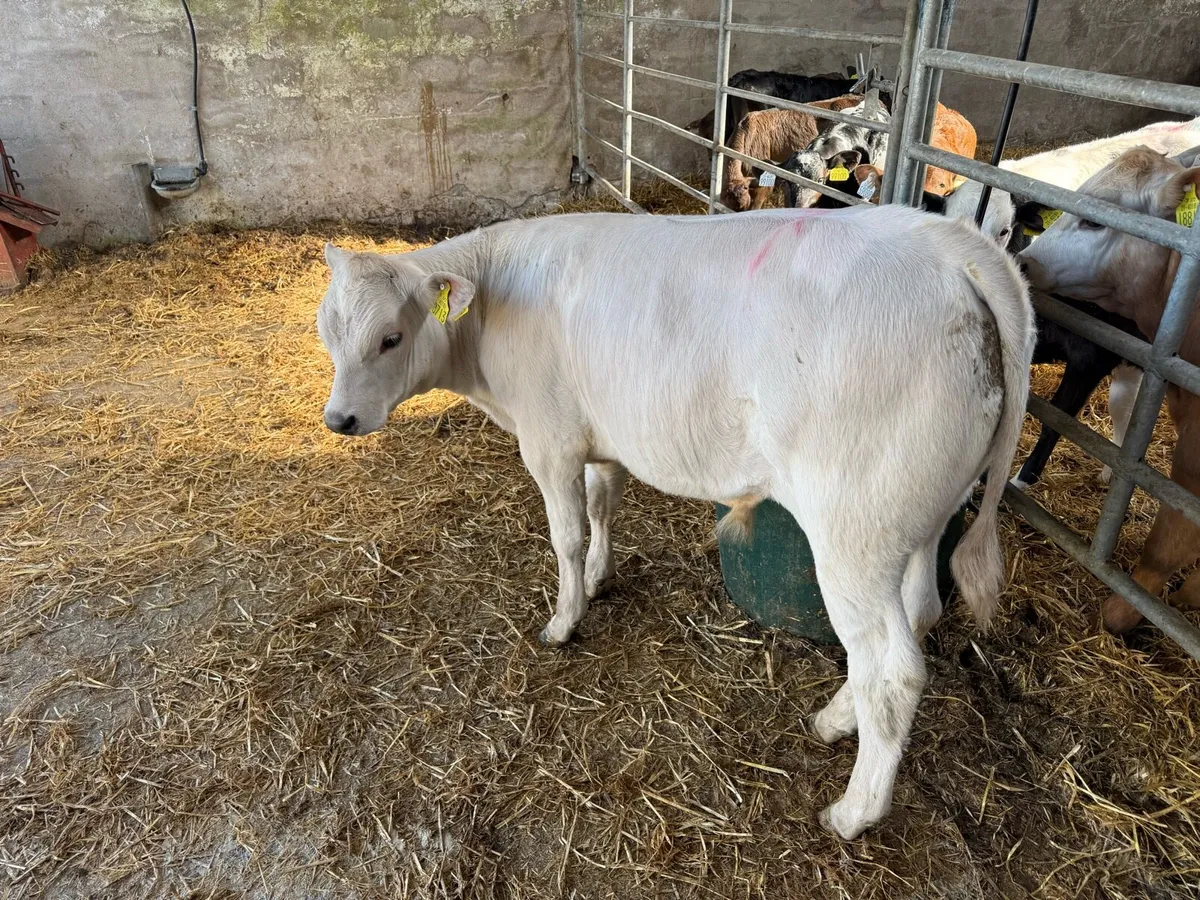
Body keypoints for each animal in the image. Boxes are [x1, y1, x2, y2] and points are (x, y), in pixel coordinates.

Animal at [317, 204, 1035, 840]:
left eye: (390, 337)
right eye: (328, 335)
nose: (339, 419)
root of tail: (947, 245)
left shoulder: (549, 440)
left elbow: (566, 536)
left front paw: (564, 619)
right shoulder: (602, 437)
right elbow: (603, 505)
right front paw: (601, 577)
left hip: (853, 531)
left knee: (891, 669)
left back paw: (853, 811)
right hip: (917, 516)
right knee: (919, 612)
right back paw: (836, 720)